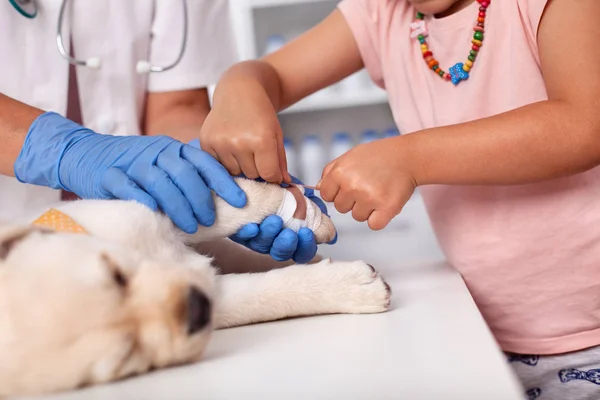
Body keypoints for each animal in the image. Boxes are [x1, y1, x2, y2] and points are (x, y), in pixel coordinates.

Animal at [0, 179, 392, 396]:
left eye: (116, 274)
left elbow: (238, 202)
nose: (196, 307)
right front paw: (354, 288)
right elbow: (269, 295)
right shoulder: (217, 294)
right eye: (128, 356)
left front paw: (313, 219)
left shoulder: (158, 204)